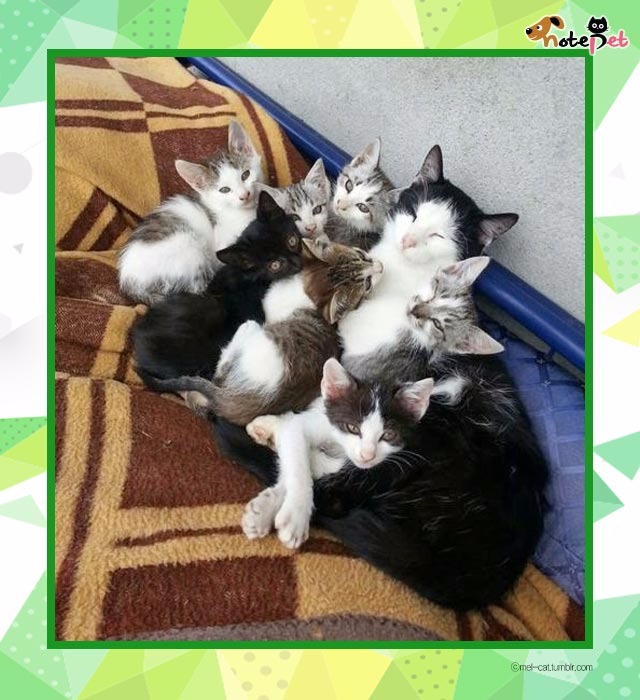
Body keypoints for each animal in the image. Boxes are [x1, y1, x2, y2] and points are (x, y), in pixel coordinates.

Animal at [119, 121, 263, 304]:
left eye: (245, 175)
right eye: (224, 190)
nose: (245, 195)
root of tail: (129, 283)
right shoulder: (223, 246)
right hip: (189, 247)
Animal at [158, 238, 383, 425]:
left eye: (367, 283)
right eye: (362, 255)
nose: (381, 267)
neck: (307, 292)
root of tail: (231, 402)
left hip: (251, 331)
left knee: (220, 372)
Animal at [241, 358, 435, 548]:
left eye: (388, 435)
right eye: (353, 428)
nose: (367, 455)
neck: (339, 446)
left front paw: (265, 510)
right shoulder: (322, 423)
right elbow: (298, 461)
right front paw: (295, 517)